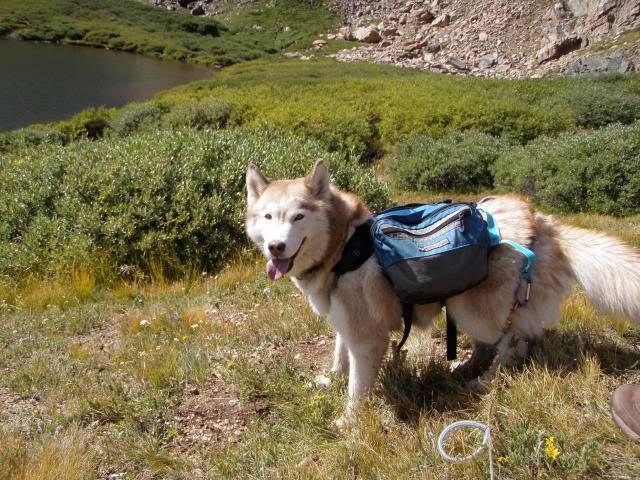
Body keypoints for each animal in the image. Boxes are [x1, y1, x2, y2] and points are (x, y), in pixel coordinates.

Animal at [245, 159, 640, 422]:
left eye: (298, 216)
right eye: (268, 217)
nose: (276, 248)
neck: (344, 247)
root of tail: (542, 221)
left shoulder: (367, 336)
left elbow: (357, 387)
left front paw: (349, 422)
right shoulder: (345, 320)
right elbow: (339, 355)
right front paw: (332, 379)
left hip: (476, 310)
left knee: (515, 340)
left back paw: (486, 379)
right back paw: (467, 366)